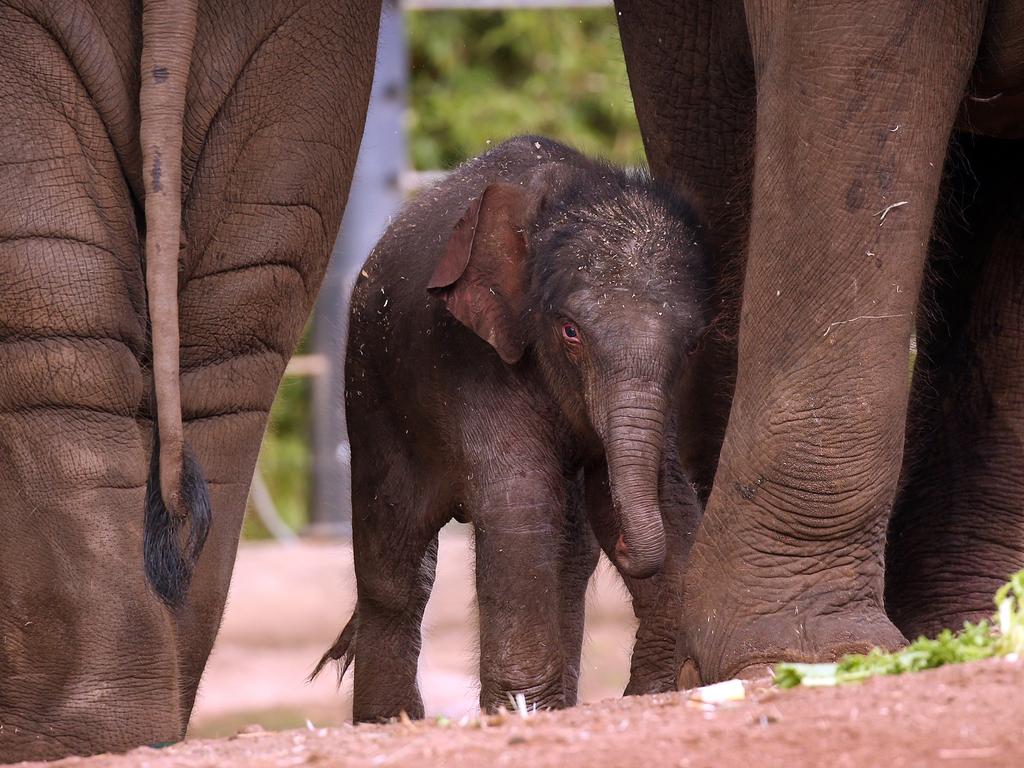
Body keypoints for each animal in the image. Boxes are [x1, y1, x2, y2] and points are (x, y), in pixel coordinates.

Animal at [319, 137, 712, 720]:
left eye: (691, 344)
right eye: (570, 331)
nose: (623, 543)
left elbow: (664, 499)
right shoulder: (474, 356)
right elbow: (519, 503)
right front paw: (522, 711)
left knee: (570, 562)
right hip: (371, 393)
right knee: (394, 563)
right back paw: (389, 723)